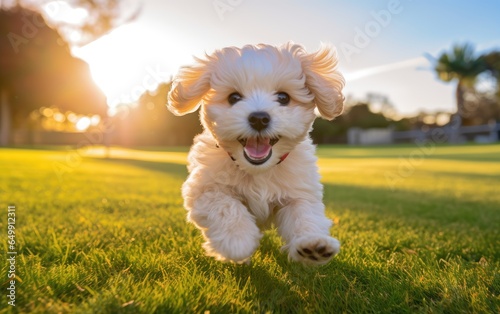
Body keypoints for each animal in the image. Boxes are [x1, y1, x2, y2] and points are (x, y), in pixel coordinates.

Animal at [168, 42, 344, 264]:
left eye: (283, 97)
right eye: (233, 97)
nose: (259, 118)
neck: (258, 171)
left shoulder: (300, 192)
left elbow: (305, 215)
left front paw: (313, 243)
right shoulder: (204, 189)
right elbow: (225, 206)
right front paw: (237, 241)